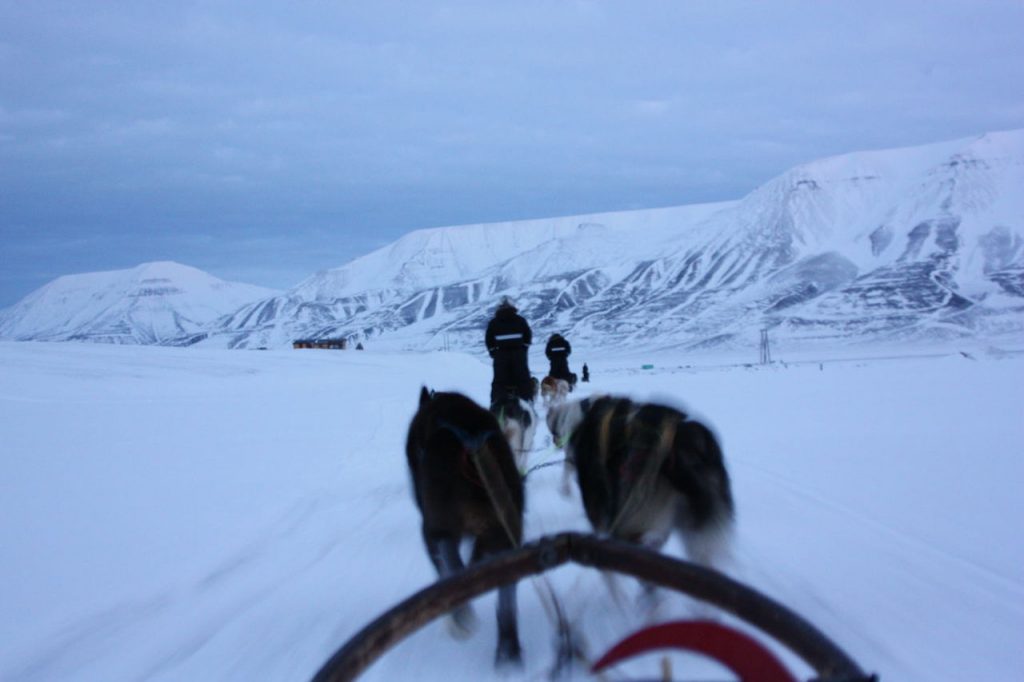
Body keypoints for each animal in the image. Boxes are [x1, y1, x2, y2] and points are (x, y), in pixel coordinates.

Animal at [403, 387, 524, 663]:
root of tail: (472, 446)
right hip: (507, 528)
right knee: (506, 589)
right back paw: (508, 648)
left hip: (439, 525)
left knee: (451, 561)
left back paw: (460, 616)